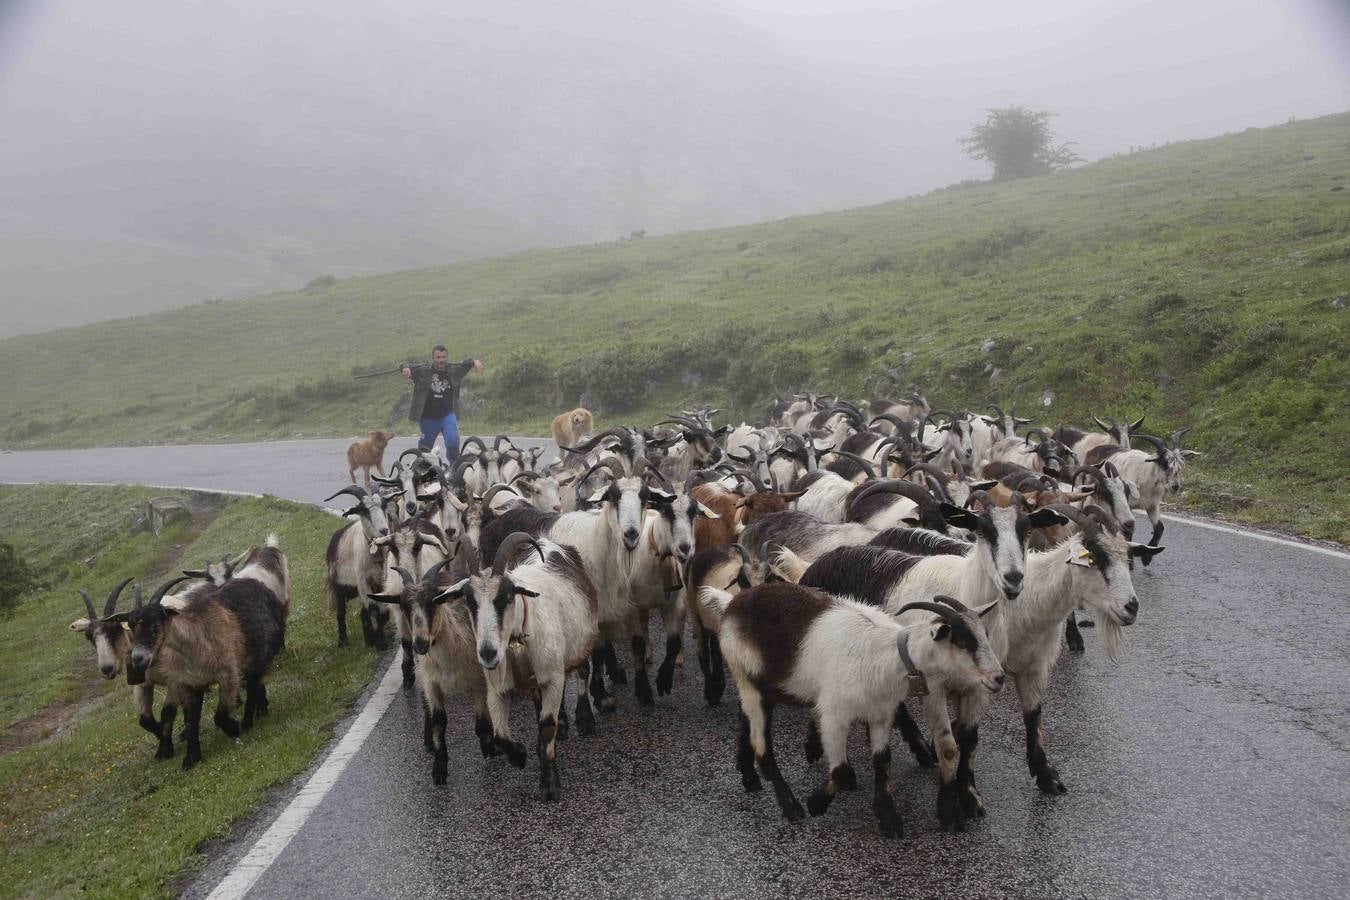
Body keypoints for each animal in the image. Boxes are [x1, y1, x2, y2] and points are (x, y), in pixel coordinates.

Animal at [707, 588, 1004, 841]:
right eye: (963, 642)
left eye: (986, 636)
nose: (999, 678)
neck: (886, 655)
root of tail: (731, 603)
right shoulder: (833, 715)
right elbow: (838, 770)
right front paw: (816, 804)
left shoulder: (880, 713)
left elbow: (882, 760)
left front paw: (888, 819)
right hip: (748, 681)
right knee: (762, 746)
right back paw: (791, 807)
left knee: (744, 724)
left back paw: (749, 778)